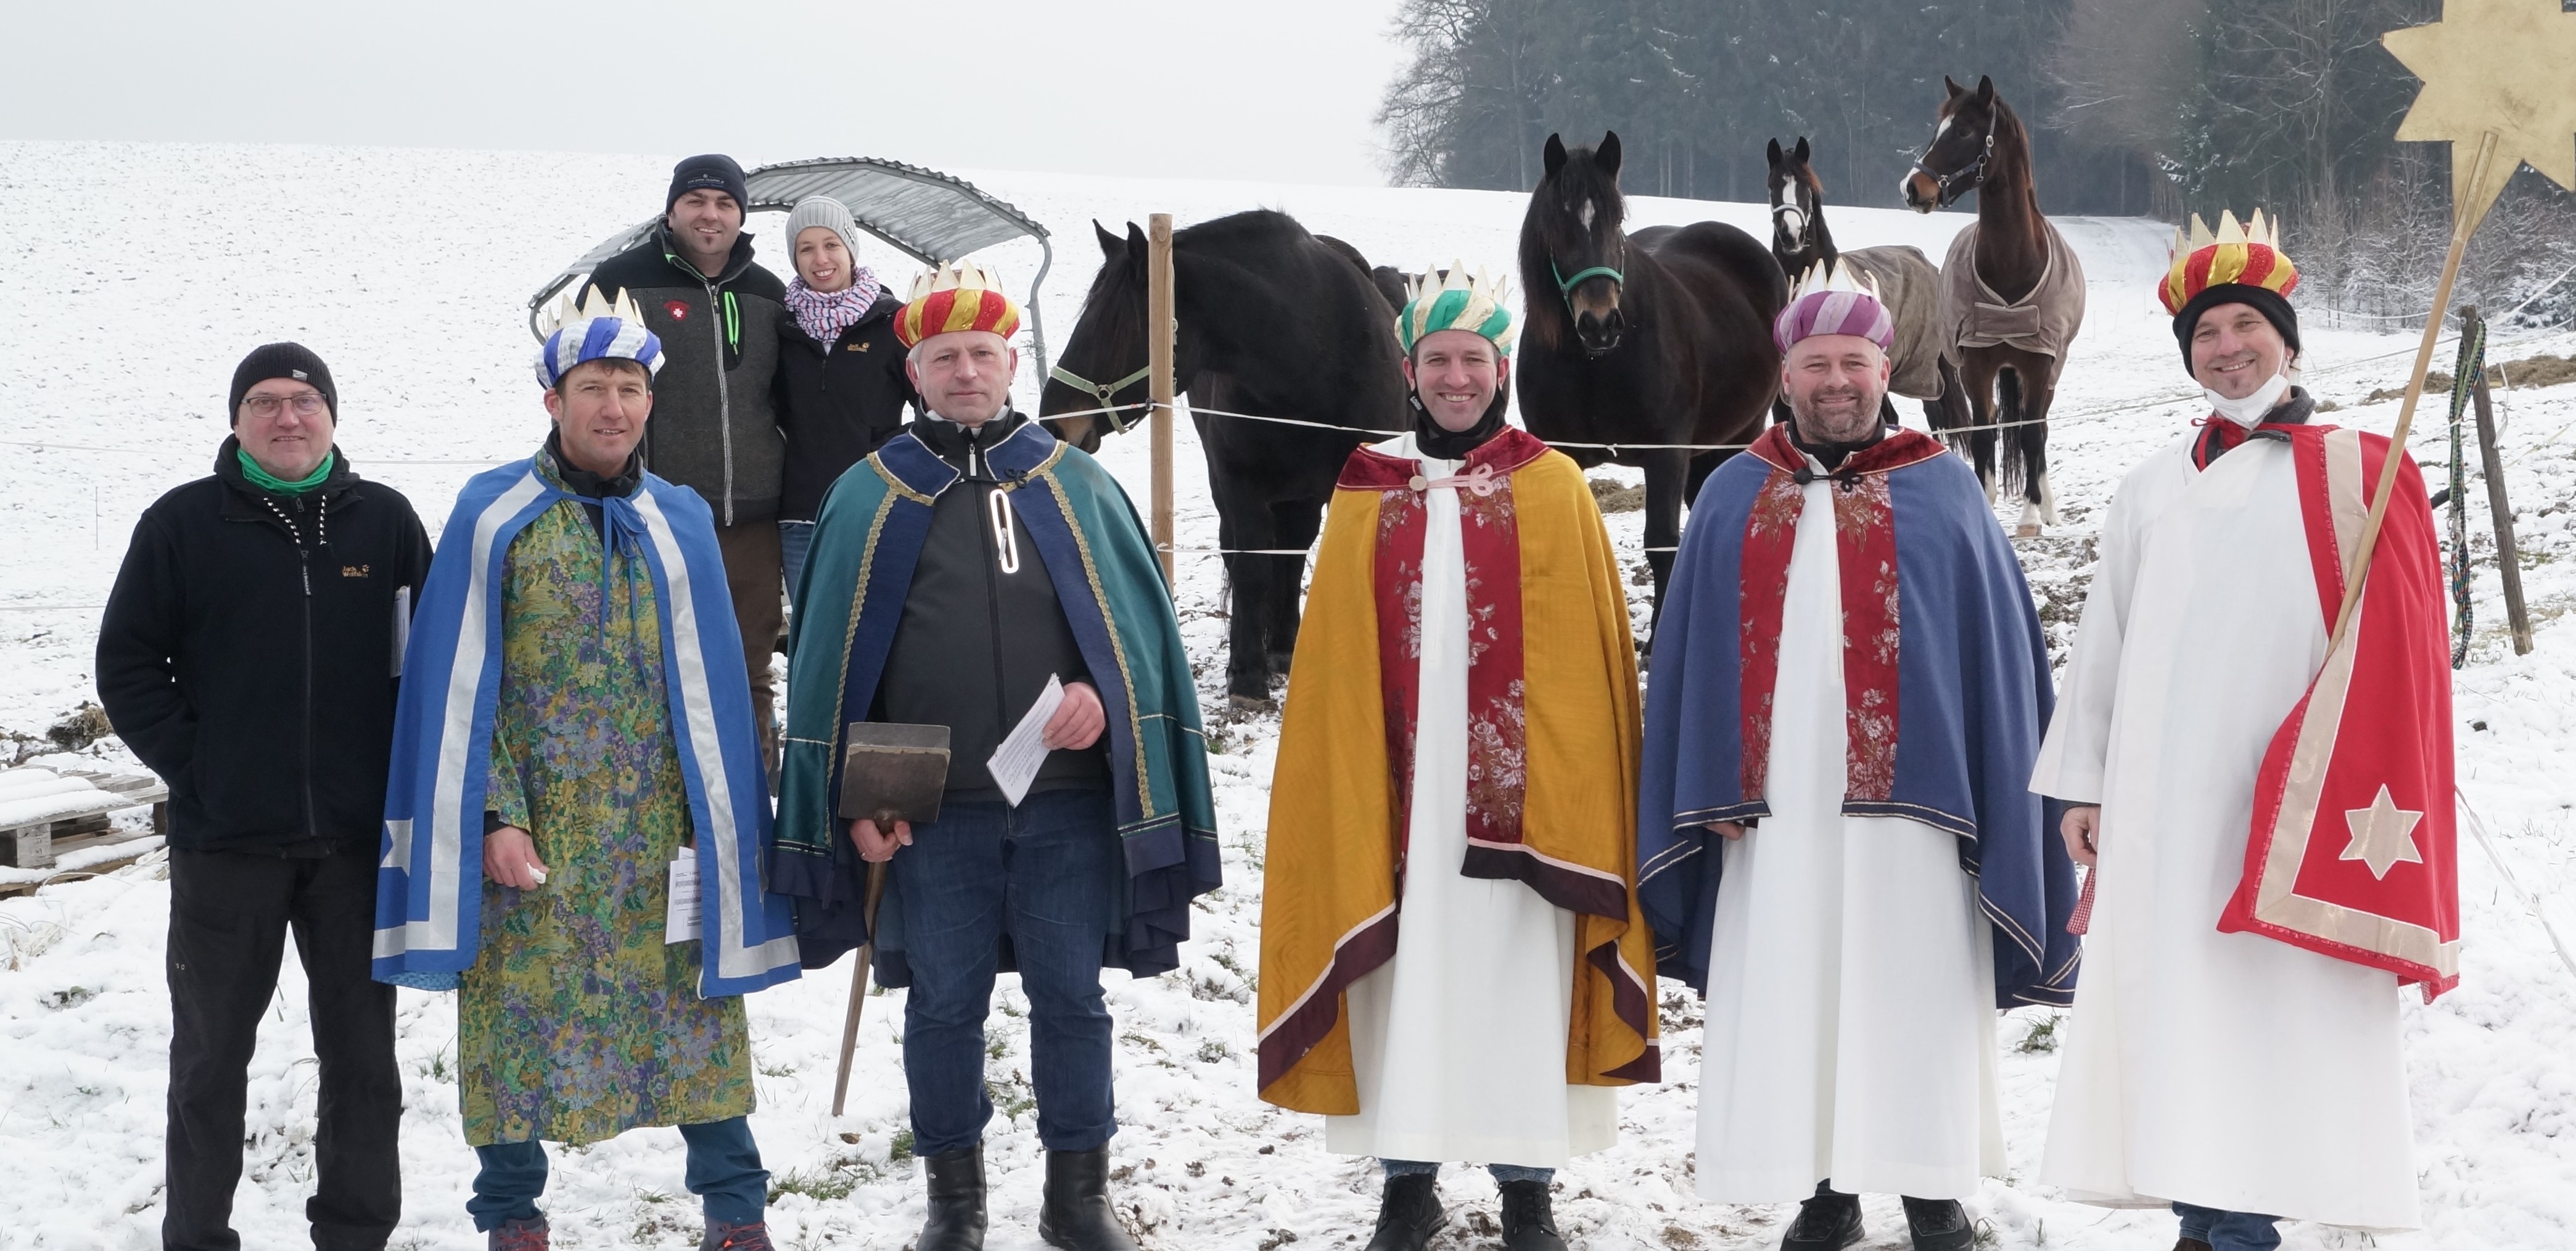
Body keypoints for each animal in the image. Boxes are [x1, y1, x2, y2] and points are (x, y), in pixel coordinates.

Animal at [1039, 211, 1408, 707]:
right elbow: (1251, 568)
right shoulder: (1238, 483)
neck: (1316, 359)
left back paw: (1285, 644)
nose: (1055, 422)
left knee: (1293, 551)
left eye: (1115, 324)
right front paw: (1247, 675)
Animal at [1515, 130, 1788, 627]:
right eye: (1556, 223)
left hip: (1739, 432)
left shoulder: (1665, 456)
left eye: (1616, 218)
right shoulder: (1564, 452)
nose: (1600, 322)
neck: (1594, 363)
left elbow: (1661, 546)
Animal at [1901, 75, 2087, 535]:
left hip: (2049, 372)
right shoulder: (1976, 363)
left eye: (1964, 131)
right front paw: (1983, 504)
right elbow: (1984, 433)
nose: (1913, 188)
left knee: (2039, 428)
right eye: (1937, 128)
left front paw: (2031, 515)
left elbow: (2031, 435)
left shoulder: (2039, 362)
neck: (2011, 265)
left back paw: (2048, 507)